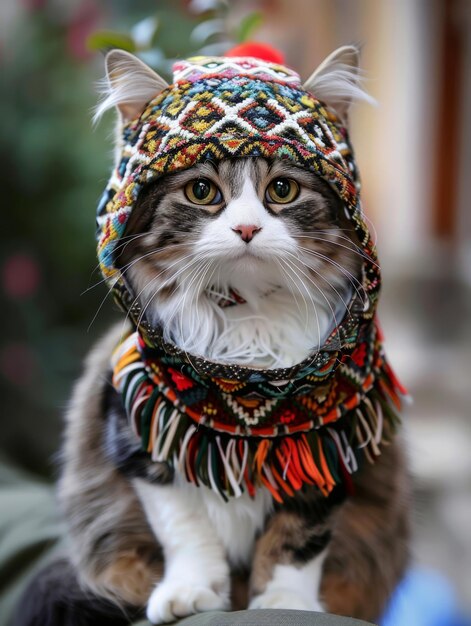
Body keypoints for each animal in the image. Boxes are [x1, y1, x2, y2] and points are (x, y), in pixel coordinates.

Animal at [12, 45, 412, 624]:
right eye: (202, 191)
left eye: (282, 189)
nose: (247, 229)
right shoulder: (142, 432)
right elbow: (186, 528)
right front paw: (191, 592)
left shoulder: (329, 443)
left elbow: (298, 540)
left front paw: (285, 603)